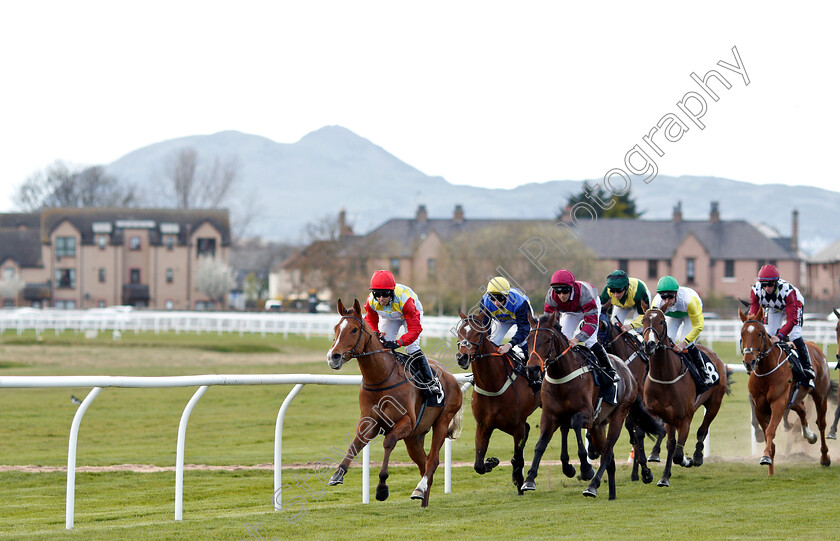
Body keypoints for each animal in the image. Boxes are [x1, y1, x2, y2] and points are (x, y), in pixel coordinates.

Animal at [324, 300, 462, 506]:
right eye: (335, 328)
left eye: (354, 329)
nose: (333, 357)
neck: (381, 378)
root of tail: (451, 376)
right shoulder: (369, 421)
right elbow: (356, 443)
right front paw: (337, 474)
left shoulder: (406, 422)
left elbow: (388, 442)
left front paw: (382, 488)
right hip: (414, 437)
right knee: (424, 463)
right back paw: (423, 499)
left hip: (442, 421)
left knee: (433, 460)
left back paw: (419, 488)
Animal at [456, 306, 540, 492]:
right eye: (459, 332)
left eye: (477, 333)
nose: (462, 357)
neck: (493, 384)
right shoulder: (483, 425)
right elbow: (478, 465)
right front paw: (491, 462)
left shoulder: (516, 425)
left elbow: (517, 456)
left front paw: (519, 479)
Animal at [520, 310, 664, 500]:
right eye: (528, 339)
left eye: (548, 340)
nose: (532, 369)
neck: (562, 376)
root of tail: (628, 373)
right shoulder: (550, 416)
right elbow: (540, 445)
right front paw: (529, 479)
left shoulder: (586, 413)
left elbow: (575, 425)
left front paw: (586, 469)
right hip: (599, 425)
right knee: (609, 457)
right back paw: (612, 492)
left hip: (618, 415)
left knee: (608, 452)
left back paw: (593, 485)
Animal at [644, 306, 728, 488]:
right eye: (644, 320)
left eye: (661, 322)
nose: (649, 344)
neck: (665, 377)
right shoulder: (660, 414)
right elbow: (670, 444)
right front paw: (664, 476)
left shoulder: (684, 420)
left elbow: (678, 454)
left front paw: (687, 460)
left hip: (714, 403)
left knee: (703, 430)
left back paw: (697, 456)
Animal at [740, 304, 832, 472]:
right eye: (742, 333)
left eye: (760, 333)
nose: (749, 362)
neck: (766, 372)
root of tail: (815, 347)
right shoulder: (759, 407)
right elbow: (766, 431)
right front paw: (770, 460)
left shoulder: (778, 403)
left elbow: (770, 429)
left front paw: (765, 457)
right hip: (794, 399)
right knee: (802, 410)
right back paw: (809, 436)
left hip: (820, 395)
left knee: (821, 424)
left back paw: (824, 457)